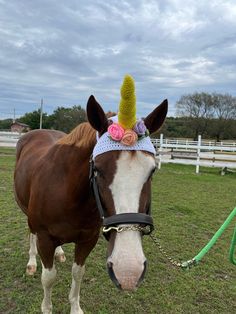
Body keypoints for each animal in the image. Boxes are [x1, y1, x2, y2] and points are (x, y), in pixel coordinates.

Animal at [13, 96, 167, 314]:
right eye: (98, 169)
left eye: (152, 170)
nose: (128, 270)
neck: (68, 193)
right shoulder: (45, 238)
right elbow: (49, 278)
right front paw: (47, 307)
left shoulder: (88, 240)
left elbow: (78, 273)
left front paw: (75, 307)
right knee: (31, 234)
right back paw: (32, 262)